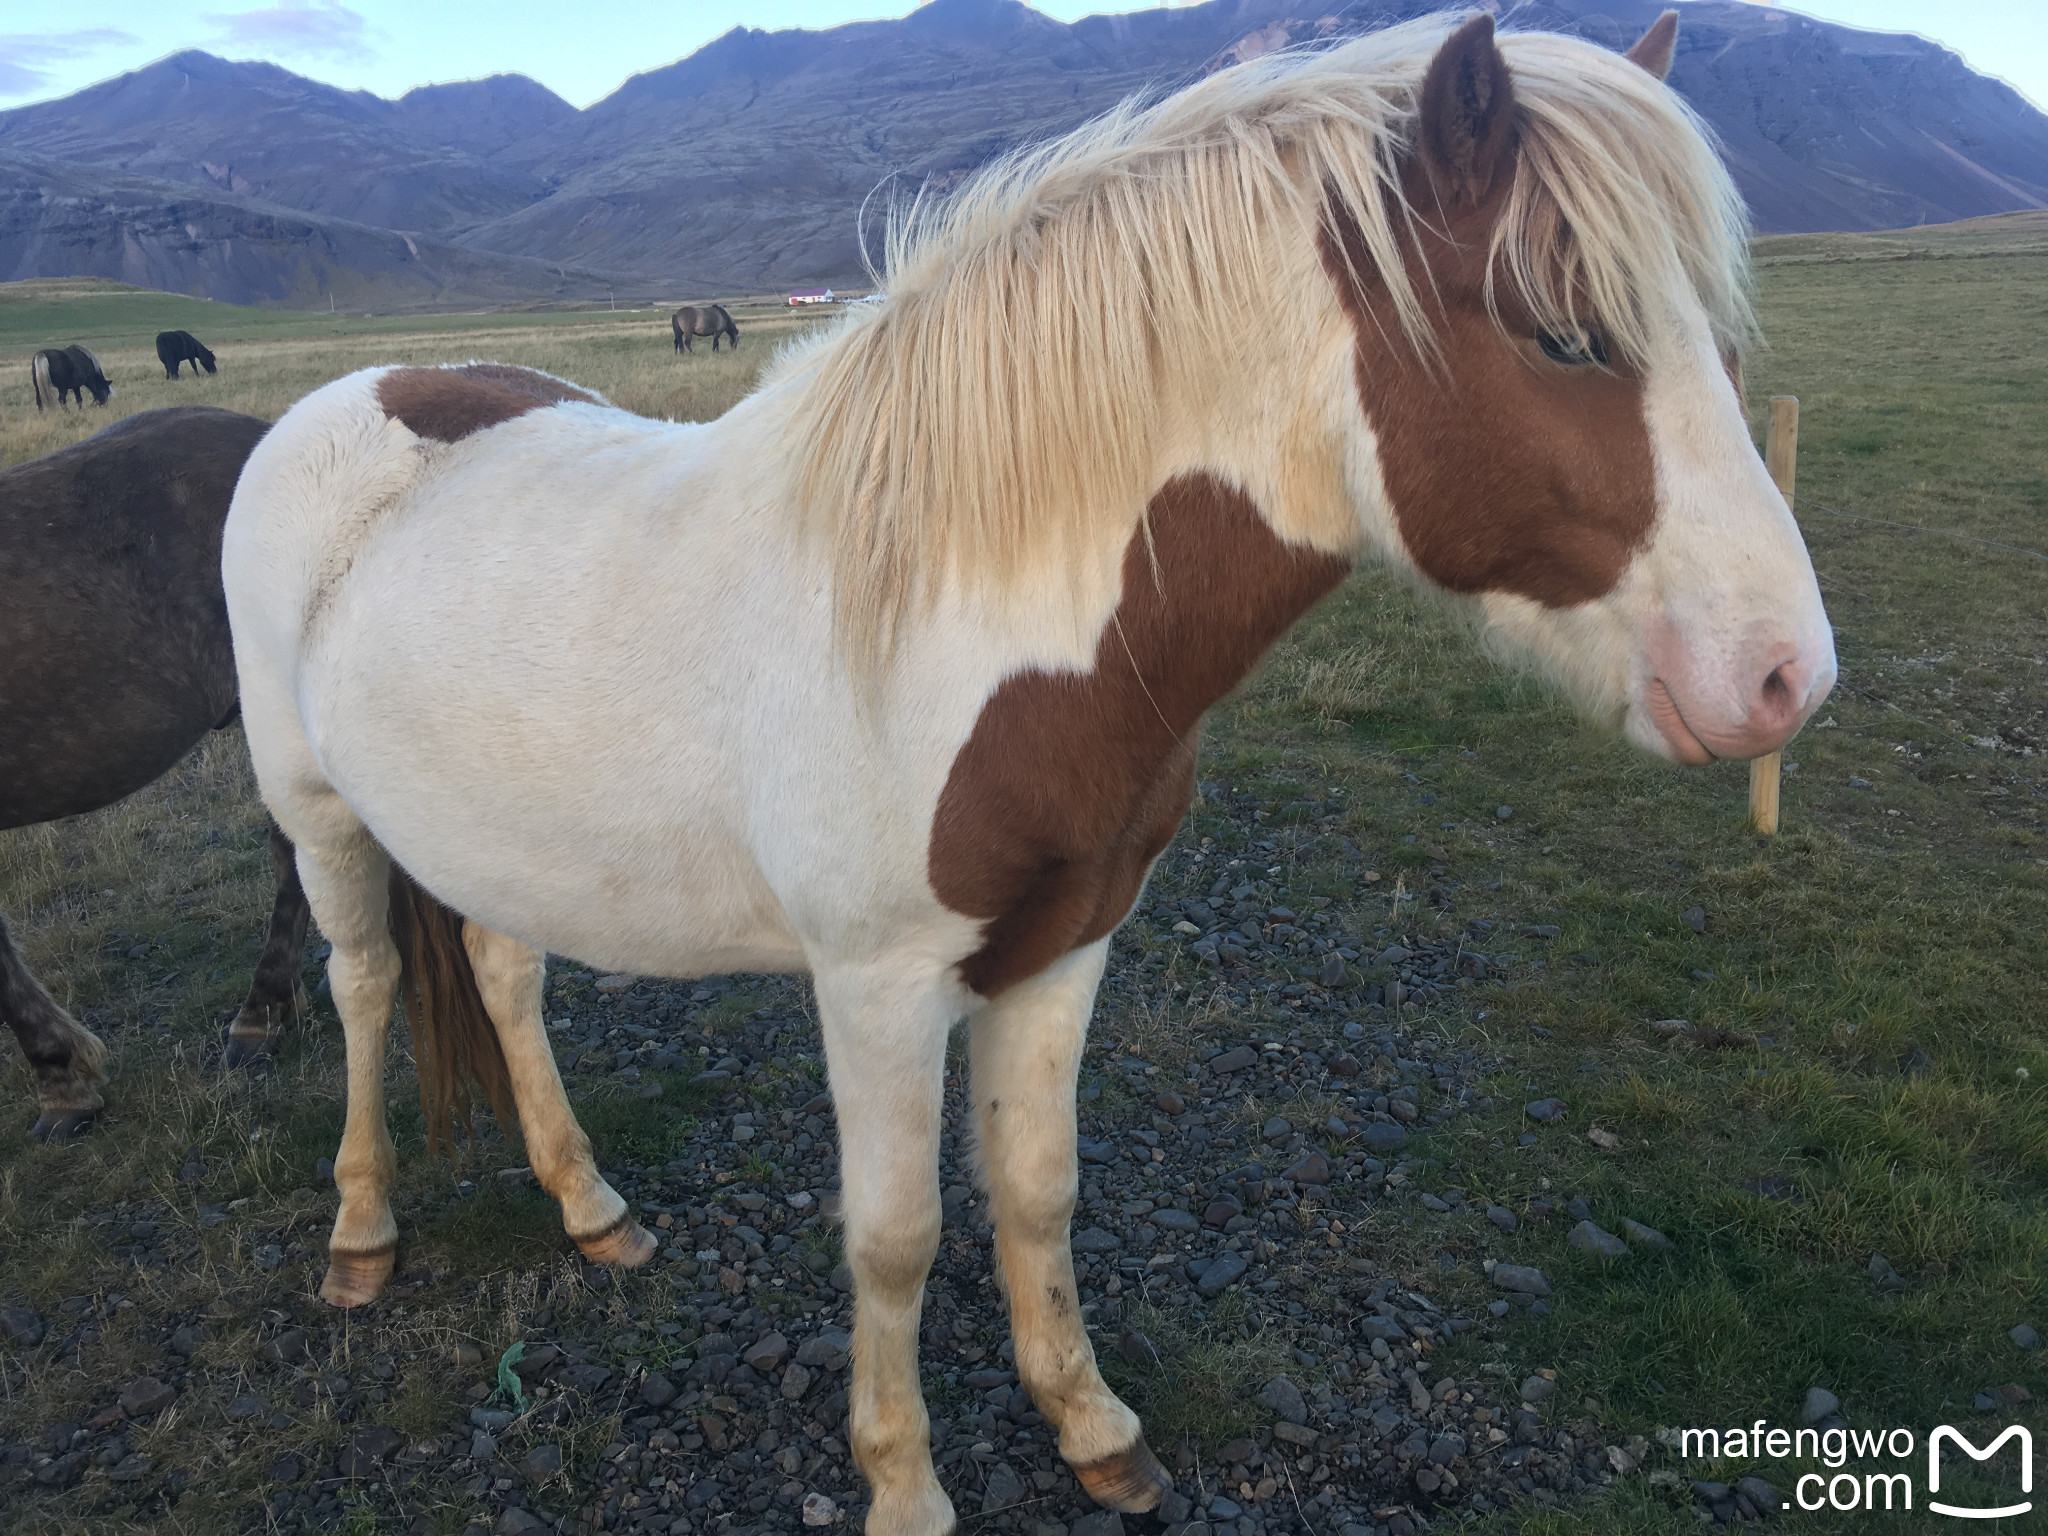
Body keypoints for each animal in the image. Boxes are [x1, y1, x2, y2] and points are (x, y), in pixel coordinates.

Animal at [228, 15, 1843, 1536]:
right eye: (1563, 334)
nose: (1786, 679)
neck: (969, 611)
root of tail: (346, 399)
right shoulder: (878, 986)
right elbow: (895, 1239)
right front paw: (903, 1486)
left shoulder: (1065, 945)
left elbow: (1036, 1191)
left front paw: (1091, 1426)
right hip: (320, 819)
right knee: (366, 984)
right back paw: (361, 1234)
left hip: (483, 835)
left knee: (503, 976)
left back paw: (587, 1204)